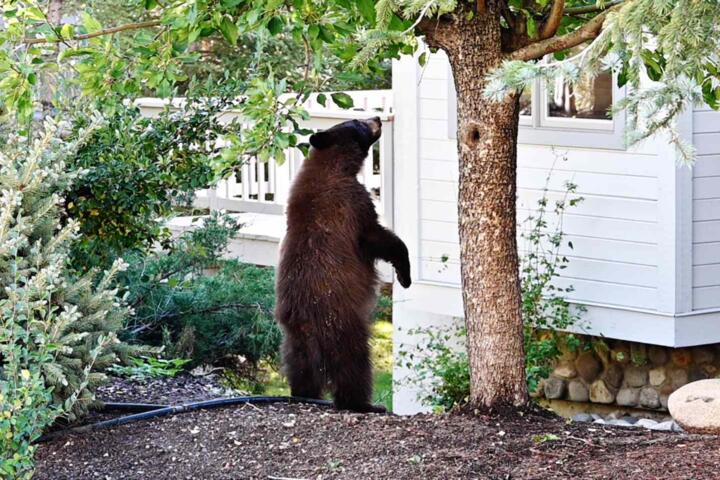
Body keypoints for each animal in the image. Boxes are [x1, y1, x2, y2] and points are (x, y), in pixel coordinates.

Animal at [275, 116, 411, 413]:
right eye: (357, 122)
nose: (377, 117)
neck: (333, 165)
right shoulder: (352, 203)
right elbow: (377, 237)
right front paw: (404, 275)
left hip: (293, 340)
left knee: (299, 368)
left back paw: (304, 394)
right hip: (343, 327)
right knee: (354, 367)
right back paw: (365, 404)